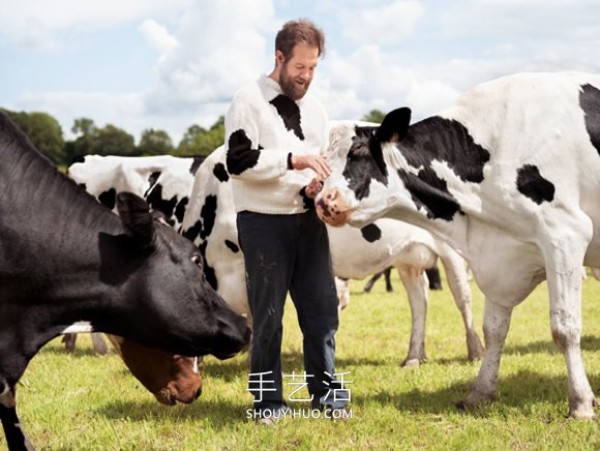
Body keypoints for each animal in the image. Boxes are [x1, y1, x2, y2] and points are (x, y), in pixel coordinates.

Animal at [179, 145, 482, 368]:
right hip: (407, 257)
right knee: (420, 300)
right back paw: (414, 357)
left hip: (451, 250)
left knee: (462, 297)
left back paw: (474, 350)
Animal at [314, 71, 600, 420]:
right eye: (323, 162)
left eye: (358, 151)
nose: (322, 201)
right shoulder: (500, 254)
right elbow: (495, 329)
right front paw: (481, 391)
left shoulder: (565, 235)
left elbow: (564, 328)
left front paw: (581, 403)